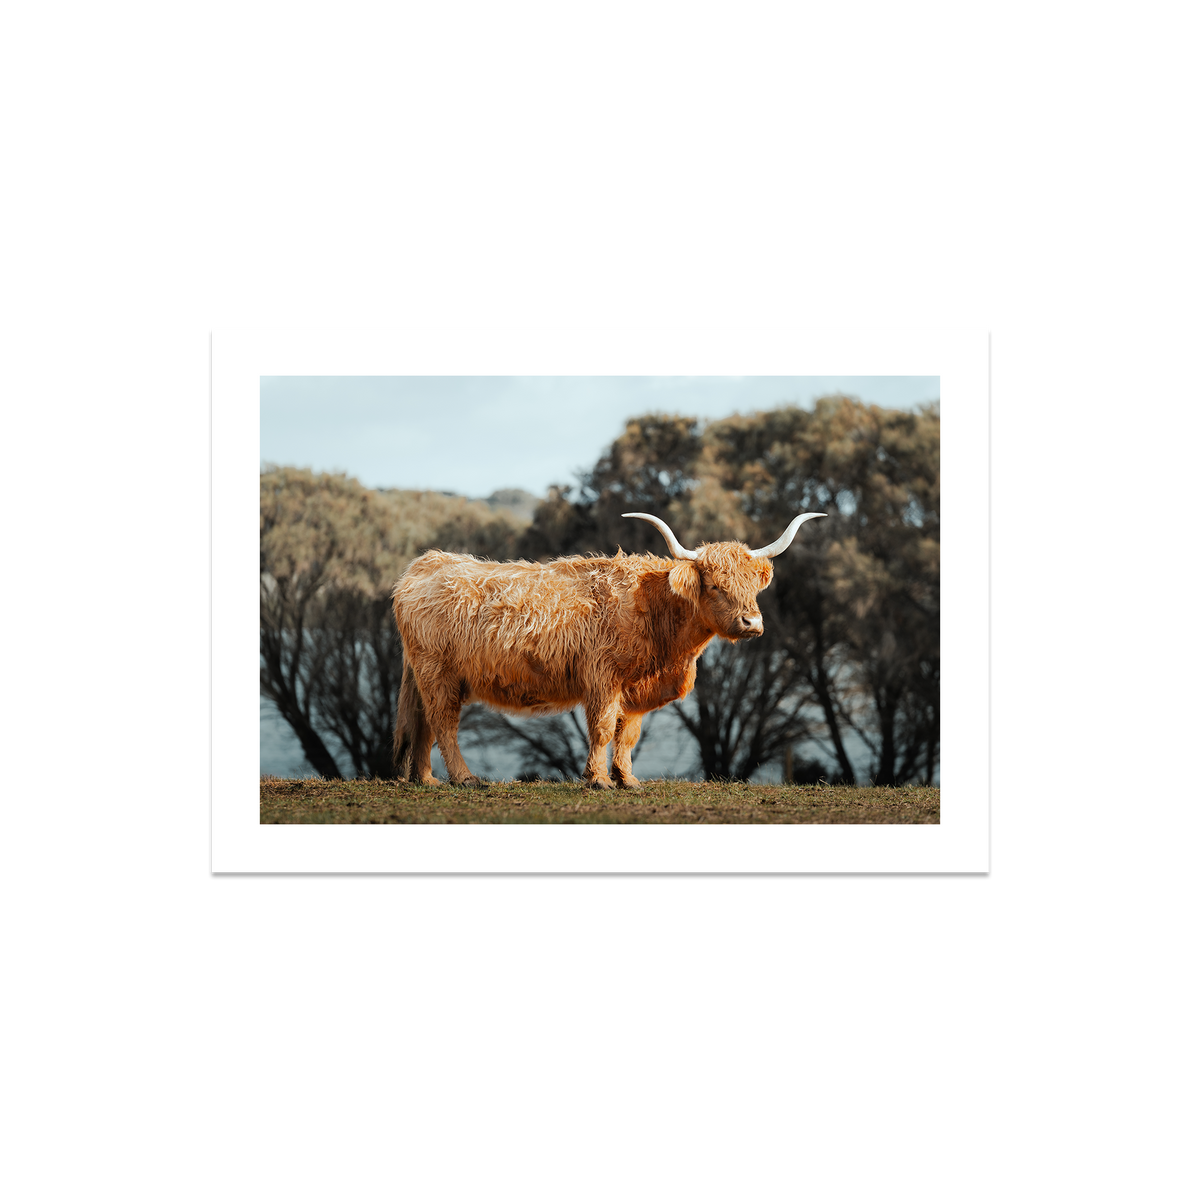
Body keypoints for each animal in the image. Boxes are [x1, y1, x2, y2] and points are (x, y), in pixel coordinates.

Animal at [391, 510, 826, 790]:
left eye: (753, 586)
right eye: (716, 586)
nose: (752, 623)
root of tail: (426, 563)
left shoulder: (634, 688)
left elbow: (628, 734)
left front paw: (628, 780)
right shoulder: (603, 678)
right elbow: (601, 729)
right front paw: (598, 780)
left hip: (429, 675)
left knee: (424, 724)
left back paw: (426, 779)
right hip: (438, 672)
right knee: (443, 723)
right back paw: (464, 779)